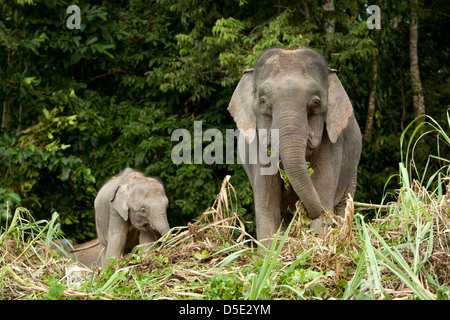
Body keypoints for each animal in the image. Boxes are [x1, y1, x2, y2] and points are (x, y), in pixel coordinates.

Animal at [229, 46, 362, 244]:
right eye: (263, 102)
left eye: (316, 103)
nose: (303, 209)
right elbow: (267, 206)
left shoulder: (332, 143)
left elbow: (322, 194)